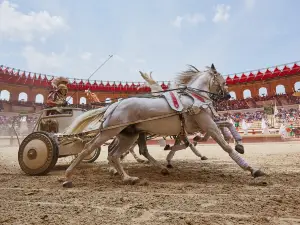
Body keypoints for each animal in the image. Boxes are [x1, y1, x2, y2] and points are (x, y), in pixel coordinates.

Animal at [63, 64, 264, 187]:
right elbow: (224, 145)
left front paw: (239, 144)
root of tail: (114, 105)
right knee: (89, 149)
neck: (194, 98)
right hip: (110, 132)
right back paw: (68, 176)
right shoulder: (207, 125)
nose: (228, 96)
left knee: (115, 154)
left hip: (129, 135)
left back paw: (128, 177)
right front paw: (251, 168)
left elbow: (226, 124)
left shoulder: (200, 126)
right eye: (222, 79)